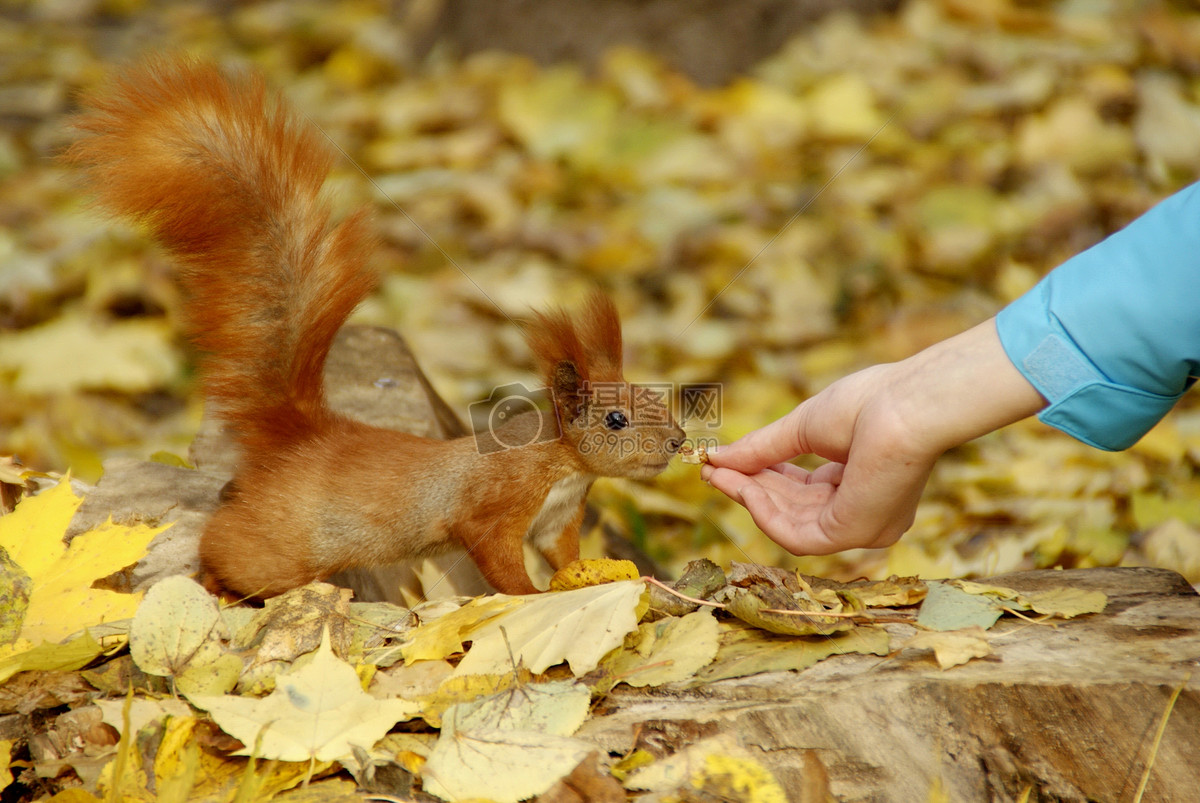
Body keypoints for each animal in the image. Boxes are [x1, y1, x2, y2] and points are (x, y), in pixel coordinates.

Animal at [68, 57, 686, 595]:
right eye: (615, 419)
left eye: (654, 397)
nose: (679, 441)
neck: (559, 465)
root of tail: (306, 437)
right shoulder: (494, 504)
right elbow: (498, 560)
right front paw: (530, 596)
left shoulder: (558, 520)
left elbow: (567, 556)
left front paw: (597, 576)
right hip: (281, 546)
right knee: (227, 544)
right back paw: (215, 580)